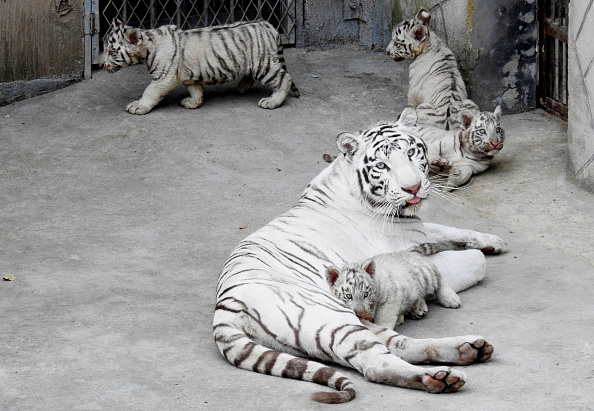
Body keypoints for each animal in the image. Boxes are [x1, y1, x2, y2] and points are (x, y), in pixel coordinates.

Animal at [100, 18, 300, 113]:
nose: (101, 65)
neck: (149, 45)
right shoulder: (188, 75)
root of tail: (269, 26)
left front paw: (138, 106)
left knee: (285, 79)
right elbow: (195, 89)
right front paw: (193, 102)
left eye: (112, 52)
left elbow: (150, 91)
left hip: (264, 64)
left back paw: (272, 101)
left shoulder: (165, 77)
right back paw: (241, 87)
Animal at [213, 108, 504, 404]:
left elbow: (449, 230)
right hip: (336, 318)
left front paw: (493, 241)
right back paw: (439, 377)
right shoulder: (410, 250)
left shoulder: (417, 231)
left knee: (398, 343)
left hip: (355, 320)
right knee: (377, 364)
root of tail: (227, 307)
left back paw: (468, 349)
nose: (413, 188)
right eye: (382, 166)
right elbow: (475, 262)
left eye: (411, 153)